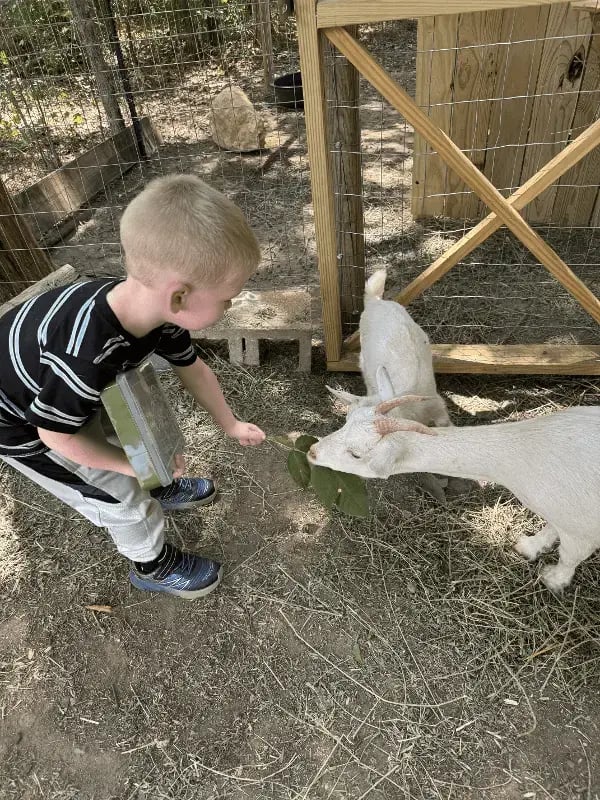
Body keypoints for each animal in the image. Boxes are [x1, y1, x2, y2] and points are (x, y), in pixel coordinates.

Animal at [310, 396, 600, 592]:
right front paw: (529, 546)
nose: (312, 452)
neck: (524, 452)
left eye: (356, 454)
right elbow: (551, 528)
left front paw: (554, 579)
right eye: (343, 424)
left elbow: (570, 555)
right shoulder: (560, 511)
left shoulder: (581, 528)